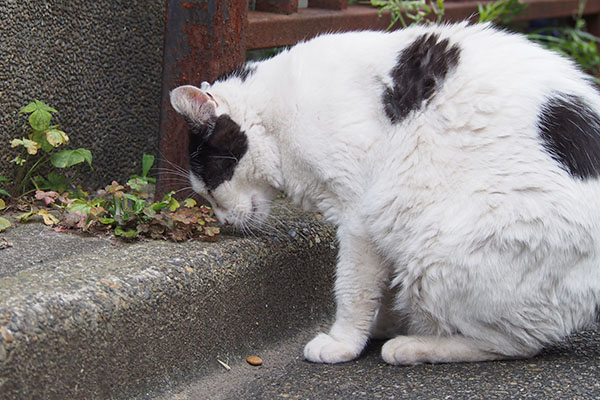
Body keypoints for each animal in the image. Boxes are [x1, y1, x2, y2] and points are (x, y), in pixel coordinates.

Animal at [169, 22, 600, 366]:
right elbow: (381, 286)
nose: (223, 221)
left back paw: (414, 346)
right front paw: (380, 323)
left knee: (517, 344)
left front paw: (344, 343)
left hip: (441, 249)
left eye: (210, 184)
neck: (278, 115)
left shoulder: (359, 216)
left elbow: (353, 288)